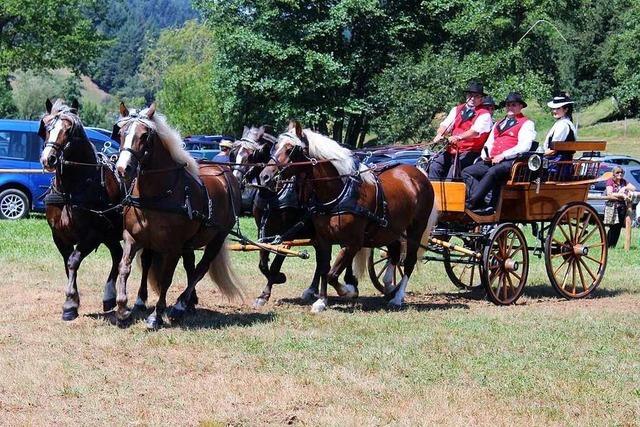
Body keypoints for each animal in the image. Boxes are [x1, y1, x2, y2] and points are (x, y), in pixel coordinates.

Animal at [39, 99, 125, 320]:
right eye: (47, 127)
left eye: (69, 130)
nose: (48, 159)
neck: (71, 190)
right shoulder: (59, 236)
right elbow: (67, 264)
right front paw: (73, 303)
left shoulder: (93, 235)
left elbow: (73, 261)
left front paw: (70, 303)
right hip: (111, 233)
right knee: (118, 253)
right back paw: (109, 296)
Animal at [112, 104, 242, 332]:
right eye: (121, 133)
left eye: (144, 135)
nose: (122, 168)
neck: (158, 192)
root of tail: (226, 173)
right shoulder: (133, 238)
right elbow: (125, 268)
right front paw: (122, 310)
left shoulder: (172, 248)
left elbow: (166, 279)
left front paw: (156, 316)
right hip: (188, 243)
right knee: (190, 265)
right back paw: (188, 304)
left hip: (217, 237)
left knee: (201, 268)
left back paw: (180, 306)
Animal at [230, 125, 360, 310]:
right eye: (233, 152)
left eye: (252, 154)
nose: (235, 179)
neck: (275, 193)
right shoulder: (263, 230)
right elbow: (263, 261)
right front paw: (275, 281)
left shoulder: (288, 233)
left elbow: (276, 262)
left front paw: (268, 290)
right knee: (322, 260)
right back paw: (312, 290)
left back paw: (351, 284)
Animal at [258, 122, 436, 312]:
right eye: (275, 146)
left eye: (290, 149)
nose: (264, 176)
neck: (340, 193)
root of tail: (418, 173)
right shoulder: (323, 239)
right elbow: (324, 269)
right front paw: (321, 301)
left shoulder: (353, 243)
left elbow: (332, 274)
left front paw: (348, 290)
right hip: (390, 229)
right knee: (394, 253)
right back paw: (389, 286)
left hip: (416, 228)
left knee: (409, 260)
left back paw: (398, 297)